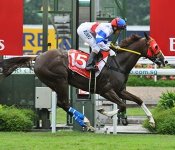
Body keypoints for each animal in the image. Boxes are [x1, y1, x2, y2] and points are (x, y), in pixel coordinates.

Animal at [0, 32, 165, 130]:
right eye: (155, 46)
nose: (163, 60)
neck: (118, 64)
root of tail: (39, 57)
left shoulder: (120, 90)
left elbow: (137, 100)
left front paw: (152, 121)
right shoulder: (106, 90)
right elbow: (122, 104)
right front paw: (103, 111)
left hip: (55, 82)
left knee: (63, 104)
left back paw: (85, 122)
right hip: (59, 80)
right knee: (63, 103)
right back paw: (85, 121)